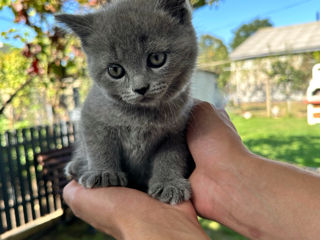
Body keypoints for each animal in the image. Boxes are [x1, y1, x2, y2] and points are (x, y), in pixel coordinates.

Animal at [56, 0, 199, 204]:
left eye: (157, 58)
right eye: (115, 70)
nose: (140, 88)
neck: (139, 115)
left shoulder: (176, 131)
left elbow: (171, 156)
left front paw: (169, 183)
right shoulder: (91, 115)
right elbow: (98, 145)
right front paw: (104, 173)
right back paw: (77, 167)